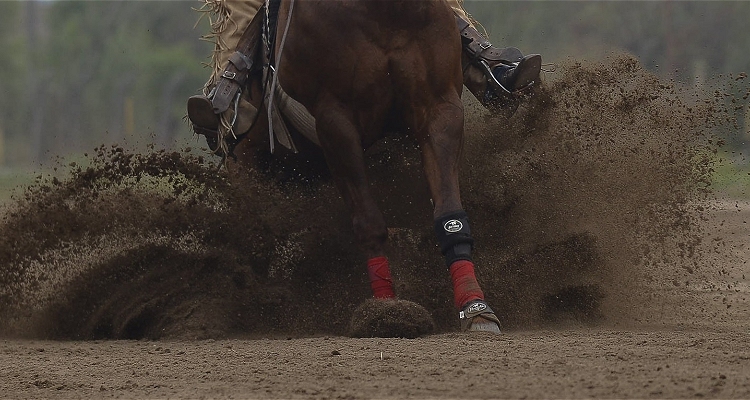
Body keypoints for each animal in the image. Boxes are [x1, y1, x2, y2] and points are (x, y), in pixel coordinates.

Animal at [238, 0, 502, 332]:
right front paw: (385, 311)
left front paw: (475, 307)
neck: (383, 13)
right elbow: (369, 221)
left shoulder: (441, 108)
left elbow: (450, 216)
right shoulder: (336, 121)